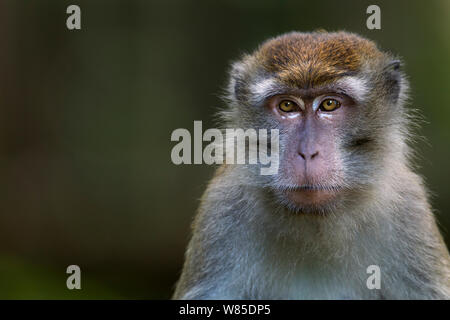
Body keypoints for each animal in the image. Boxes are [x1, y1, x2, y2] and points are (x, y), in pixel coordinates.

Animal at [171, 31, 450, 298]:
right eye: (287, 105)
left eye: (329, 104)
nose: (307, 152)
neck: (316, 222)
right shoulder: (222, 208)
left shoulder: (409, 210)